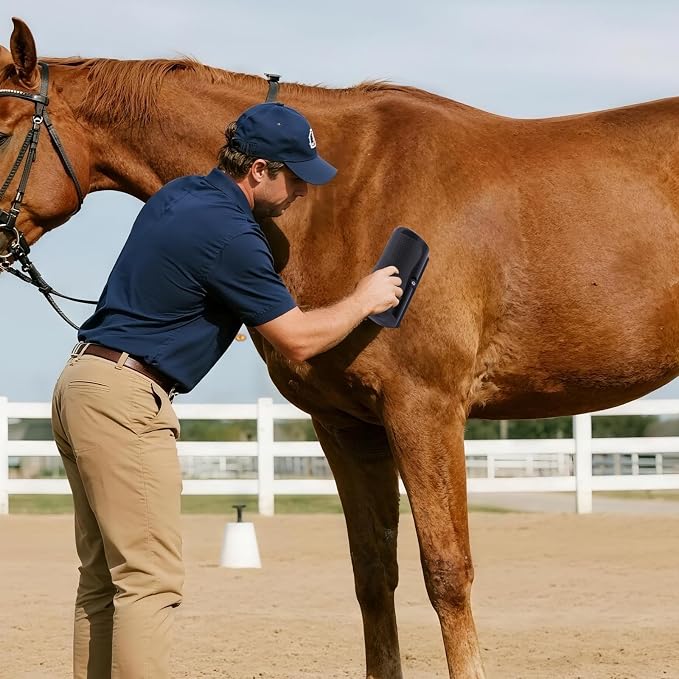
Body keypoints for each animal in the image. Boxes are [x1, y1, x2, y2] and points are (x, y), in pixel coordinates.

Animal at [3, 16, 679, 679]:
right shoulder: (346, 424)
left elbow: (447, 572)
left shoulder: (425, 411)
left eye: (4, 129)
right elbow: (374, 574)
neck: (344, 193)